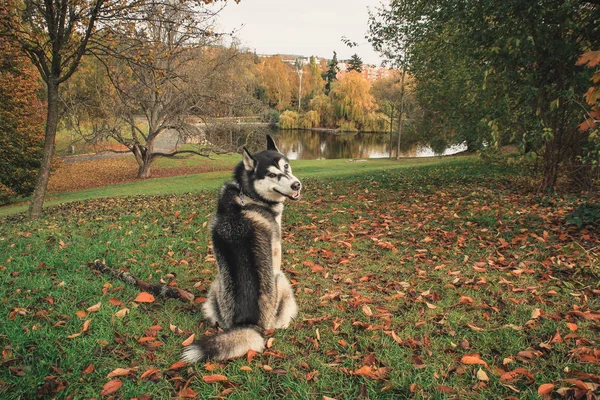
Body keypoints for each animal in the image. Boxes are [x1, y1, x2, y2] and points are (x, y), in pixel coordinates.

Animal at [182, 135, 304, 362]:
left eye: (286, 166)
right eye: (272, 174)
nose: (296, 185)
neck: (247, 195)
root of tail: (247, 323)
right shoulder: (276, 254)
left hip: (215, 286)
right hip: (282, 281)